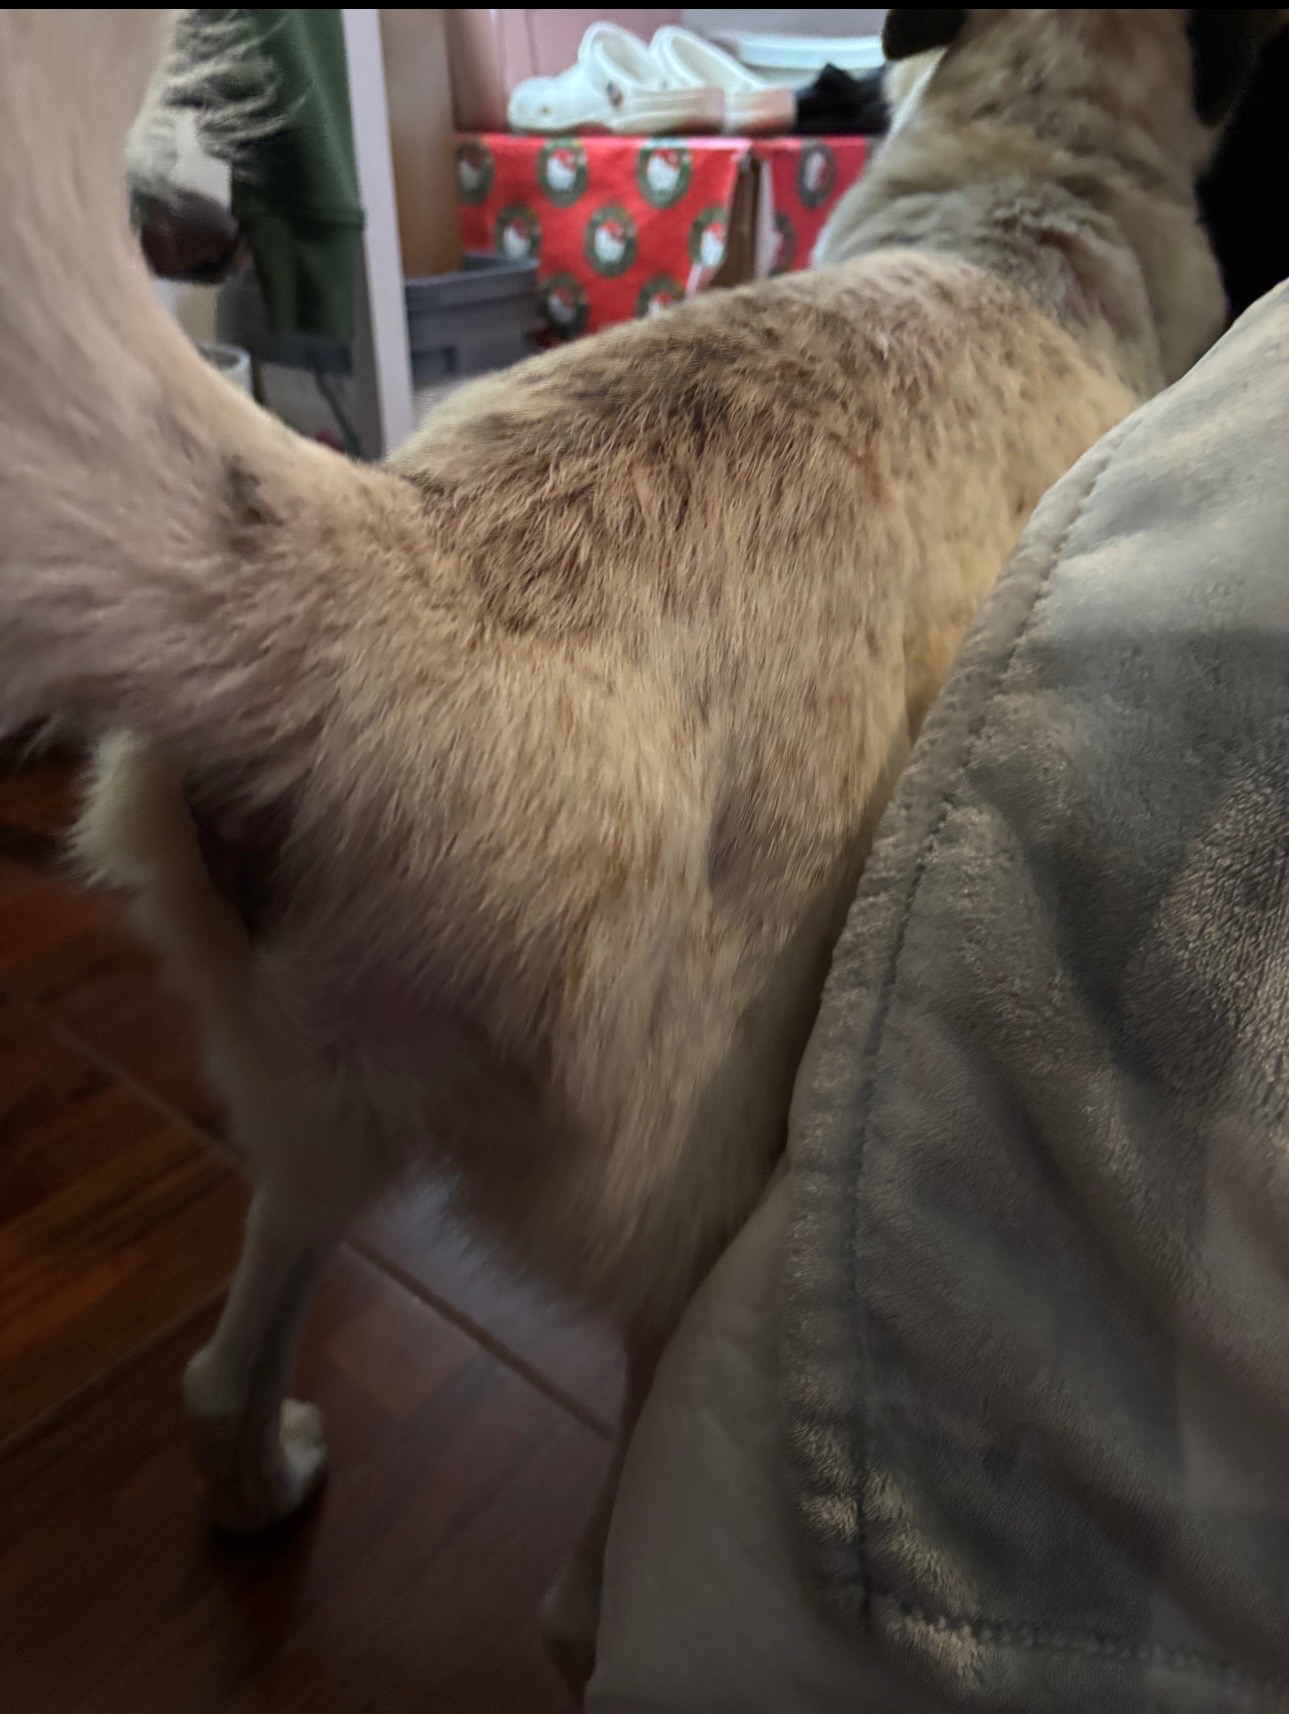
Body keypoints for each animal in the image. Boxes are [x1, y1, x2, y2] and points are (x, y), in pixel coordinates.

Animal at [0, 6, 1274, 1684]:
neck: (1028, 188)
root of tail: (398, 588)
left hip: (307, 1103)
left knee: (223, 1371)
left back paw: (265, 1482)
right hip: (704, 1183)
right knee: (589, 1563)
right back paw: (576, 1597)